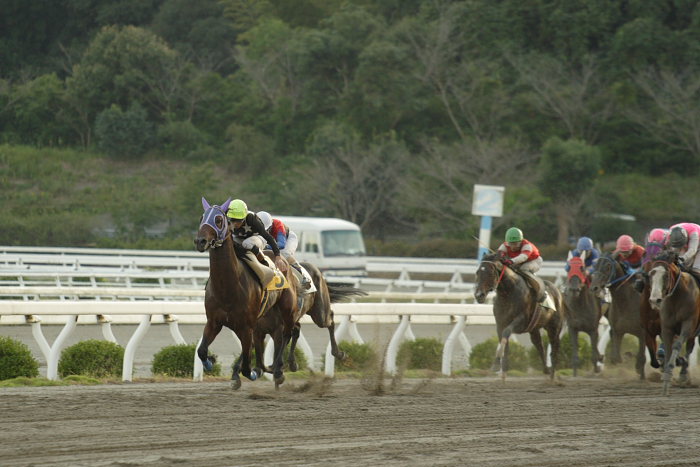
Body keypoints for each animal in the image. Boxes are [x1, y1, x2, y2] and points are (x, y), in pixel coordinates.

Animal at [194, 198, 298, 392]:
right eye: (201, 217)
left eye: (219, 220)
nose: (200, 241)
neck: (228, 288)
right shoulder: (214, 322)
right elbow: (202, 350)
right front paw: (210, 362)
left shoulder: (246, 326)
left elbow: (247, 366)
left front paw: (254, 372)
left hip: (288, 309)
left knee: (287, 333)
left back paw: (278, 370)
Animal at [474, 252, 568, 380]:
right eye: (478, 272)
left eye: (491, 273)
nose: (479, 295)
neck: (508, 293)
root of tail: (558, 291)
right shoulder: (500, 323)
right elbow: (504, 341)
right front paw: (501, 370)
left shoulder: (521, 321)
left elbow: (506, 333)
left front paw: (496, 365)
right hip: (534, 329)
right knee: (539, 345)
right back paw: (546, 370)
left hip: (554, 327)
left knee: (555, 347)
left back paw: (552, 375)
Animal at [592, 252, 644, 380]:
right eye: (596, 265)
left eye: (608, 266)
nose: (594, 287)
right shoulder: (618, 331)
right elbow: (616, 359)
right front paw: (628, 355)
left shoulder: (643, 333)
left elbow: (641, 357)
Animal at [648, 252, 696, 394]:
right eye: (650, 274)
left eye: (666, 275)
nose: (655, 300)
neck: (677, 298)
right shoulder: (667, 327)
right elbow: (669, 348)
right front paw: (666, 379)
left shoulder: (688, 324)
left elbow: (677, 345)